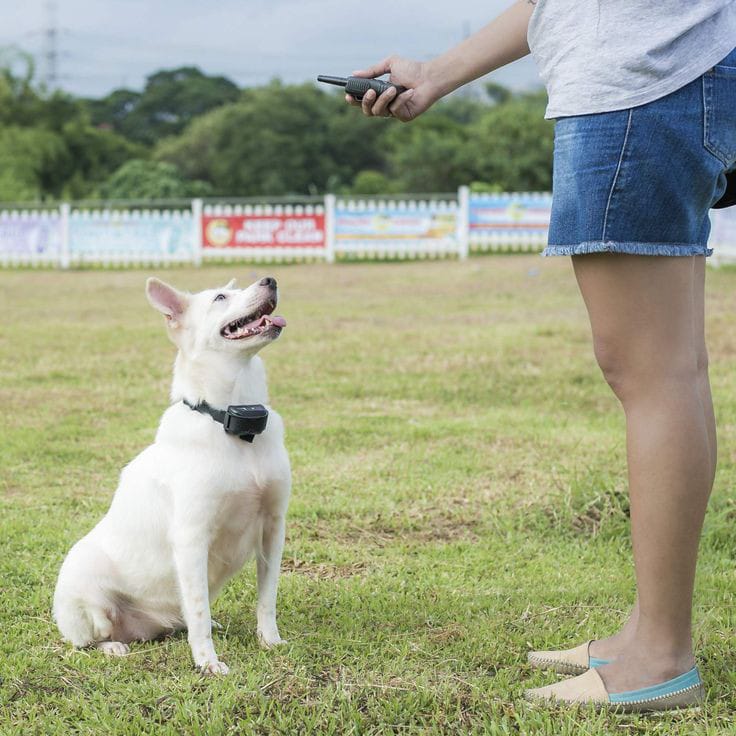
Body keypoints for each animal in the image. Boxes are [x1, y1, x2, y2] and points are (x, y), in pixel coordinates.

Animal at [52, 274, 290, 672]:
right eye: (220, 297)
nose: (270, 280)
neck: (233, 423)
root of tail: (148, 627)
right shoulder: (192, 538)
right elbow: (198, 612)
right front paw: (207, 663)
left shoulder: (273, 527)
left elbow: (266, 599)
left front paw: (269, 641)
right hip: (86, 594)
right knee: (90, 640)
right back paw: (113, 647)